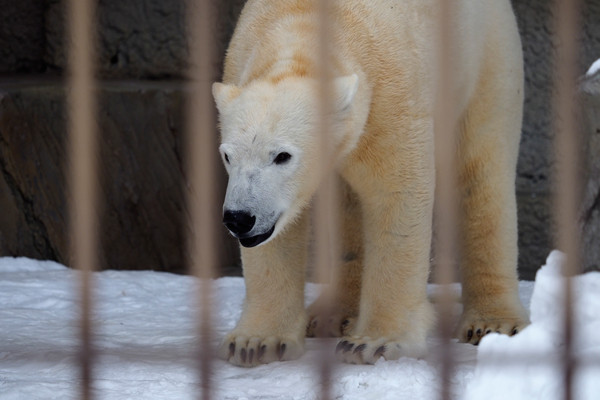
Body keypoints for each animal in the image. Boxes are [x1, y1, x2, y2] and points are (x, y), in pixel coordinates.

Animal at [212, 0, 528, 366]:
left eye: (282, 155)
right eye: (227, 156)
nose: (239, 218)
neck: (301, 26)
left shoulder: (390, 95)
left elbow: (396, 197)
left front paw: (374, 343)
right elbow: (281, 236)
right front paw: (256, 342)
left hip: (485, 58)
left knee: (482, 172)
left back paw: (492, 322)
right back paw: (334, 314)